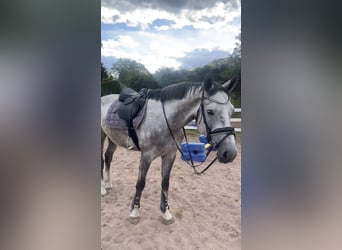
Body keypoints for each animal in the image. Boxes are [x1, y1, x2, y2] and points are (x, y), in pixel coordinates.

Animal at [100, 74, 236, 225]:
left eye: (232, 111)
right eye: (210, 111)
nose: (230, 153)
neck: (166, 120)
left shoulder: (170, 155)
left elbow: (165, 183)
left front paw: (166, 213)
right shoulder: (146, 156)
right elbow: (140, 184)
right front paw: (134, 213)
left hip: (113, 139)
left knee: (108, 157)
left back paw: (108, 184)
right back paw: (102, 190)